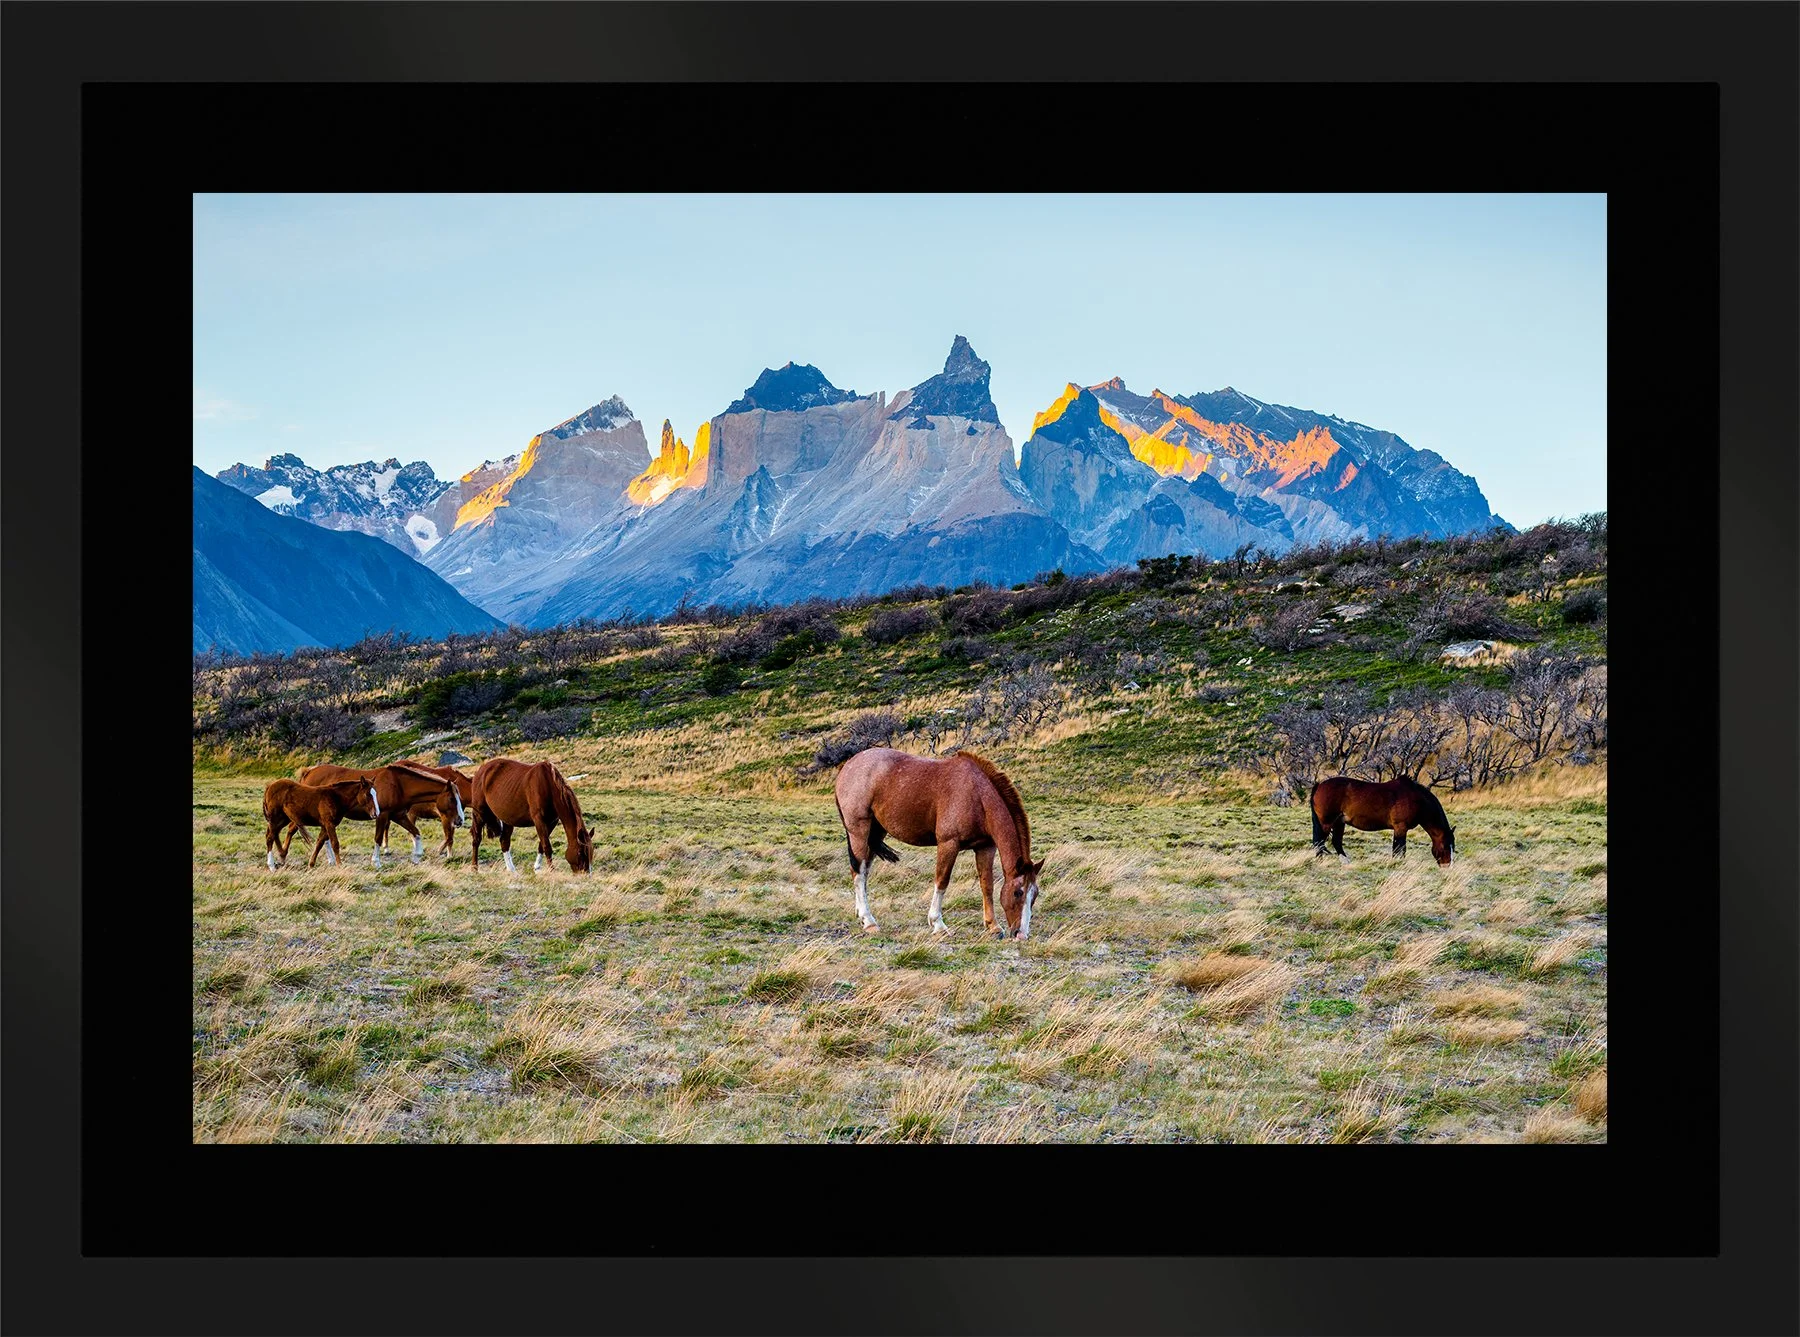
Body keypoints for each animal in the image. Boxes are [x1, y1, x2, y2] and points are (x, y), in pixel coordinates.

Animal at [298, 762, 460, 867]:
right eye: (452, 798)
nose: (459, 820)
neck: (398, 785)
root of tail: (309, 771)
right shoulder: (382, 815)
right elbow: (378, 838)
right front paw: (376, 861)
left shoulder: (399, 816)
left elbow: (416, 832)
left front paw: (417, 856)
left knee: (324, 838)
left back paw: (330, 859)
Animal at [832, 748, 1045, 939]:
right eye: (1018, 892)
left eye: (1034, 895)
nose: (1021, 935)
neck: (977, 795)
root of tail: (847, 766)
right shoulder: (948, 844)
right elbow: (942, 881)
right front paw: (938, 924)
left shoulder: (985, 847)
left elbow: (987, 885)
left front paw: (993, 926)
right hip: (859, 831)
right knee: (859, 872)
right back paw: (869, 922)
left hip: (876, 832)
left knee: (864, 872)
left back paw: (862, 915)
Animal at [1310, 775, 1456, 865]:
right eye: (1445, 846)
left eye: (1452, 846)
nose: (1447, 865)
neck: (1416, 799)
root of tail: (1319, 785)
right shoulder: (1400, 828)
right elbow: (1399, 849)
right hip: (1327, 823)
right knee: (1320, 842)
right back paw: (1321, 861)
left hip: (1339, 822)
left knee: (1335, 841)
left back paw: (1345, 862)